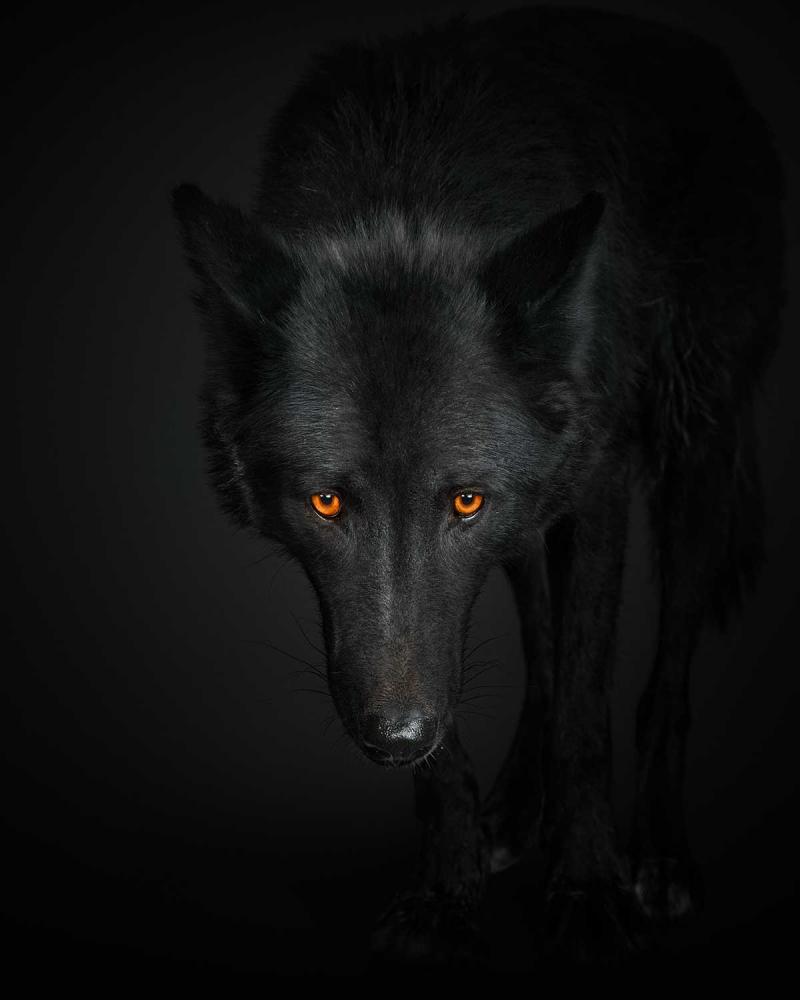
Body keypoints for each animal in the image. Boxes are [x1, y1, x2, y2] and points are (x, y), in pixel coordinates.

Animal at [172, 5, 784, 965]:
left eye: (463, 499)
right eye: (326, 502)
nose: (393, 735)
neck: (408, 180)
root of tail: (704, 59)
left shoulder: (597, 488)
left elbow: (585, 706)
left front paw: (588, 888)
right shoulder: (420, 622)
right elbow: (469, 712)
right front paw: (446, 891)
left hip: (695, 457)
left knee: (663, 675)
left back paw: (658, 855)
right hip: (536, 520)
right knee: (539, 648)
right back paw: (517, 812)